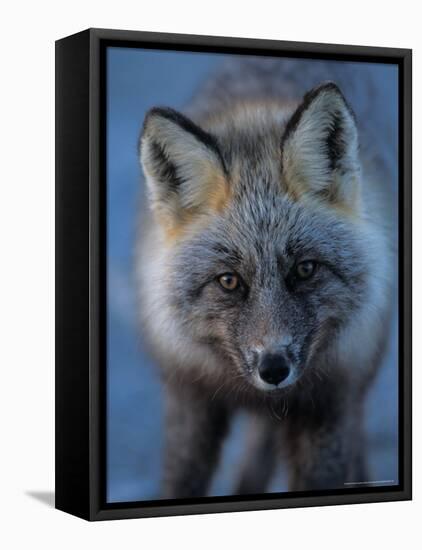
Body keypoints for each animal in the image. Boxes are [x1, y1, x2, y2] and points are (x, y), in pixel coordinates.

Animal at [135, 58, 396, 498]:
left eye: (305, 269)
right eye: (228, 281)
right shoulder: (190, 398)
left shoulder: (330, 404)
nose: (273, 368)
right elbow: (180, 481)